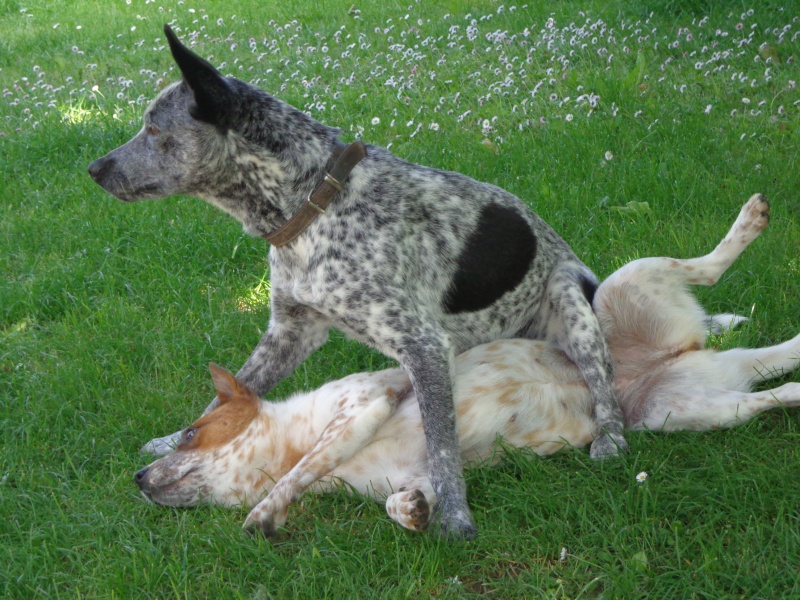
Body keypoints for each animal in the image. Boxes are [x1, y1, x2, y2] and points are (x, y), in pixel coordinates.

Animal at [89, 25, 624, 536]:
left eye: (153, 128)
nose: (94, 168)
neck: (313, 203)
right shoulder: (291, 331)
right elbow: (236, 387)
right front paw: (170, 440)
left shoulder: (423, 347)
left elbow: (441, 446)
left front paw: (455, 514)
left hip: (569, 296)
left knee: (605, 389)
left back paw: (610, 438)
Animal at [134, 193, 796, 536]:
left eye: (190, 433)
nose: (137, 479)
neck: (281, 446)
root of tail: (677, 356)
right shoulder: (418, 473)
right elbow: (403, 501)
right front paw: (412, 513)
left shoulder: (363, 405)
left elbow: (300, 470)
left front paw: (265, 514)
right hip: (688, 412)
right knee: (773, 385)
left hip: (622, 287)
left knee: (706, 267)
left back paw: (749, 222)